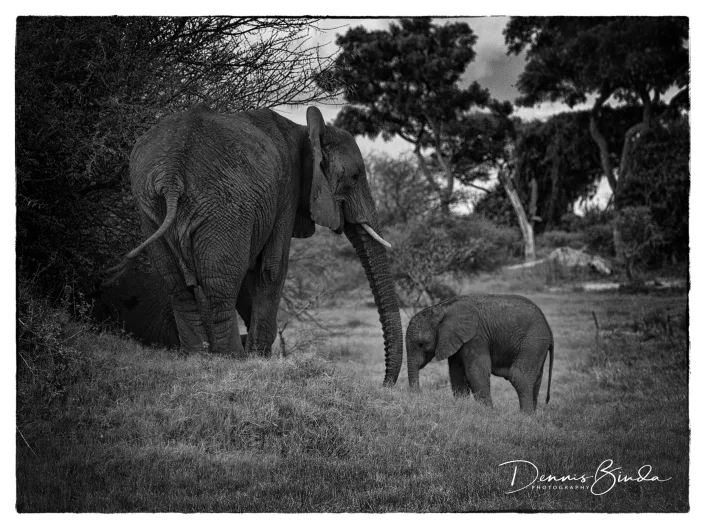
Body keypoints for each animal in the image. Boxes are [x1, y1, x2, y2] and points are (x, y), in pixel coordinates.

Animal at [106, 104, 403, 385]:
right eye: (355, 177)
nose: (385, 384)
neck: (305, 131)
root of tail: (172, 175)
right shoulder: (286, 192)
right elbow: (272, 269)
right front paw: (258, 358)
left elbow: (253, 275)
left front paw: (255, 352)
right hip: (224, 208)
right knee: (220, 286)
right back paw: (230, 359)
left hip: (149, 208)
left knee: (178, 287)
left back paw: (198, 357)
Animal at [405, 295, 554, 413]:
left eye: (421, 344)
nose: (419, 395)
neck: (442, 308)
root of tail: (548, 327)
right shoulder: (456, 339)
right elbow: (457, 373)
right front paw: (461, 406)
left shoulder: (476, 336)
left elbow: (476, 372)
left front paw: (487, 413)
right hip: (538, 343)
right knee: (536, 379)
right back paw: (532, 416)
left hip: (533, 340)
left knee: (519, 376)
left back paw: (525, 417)